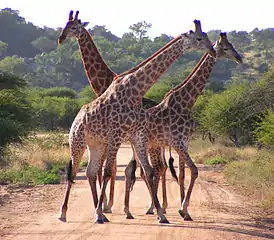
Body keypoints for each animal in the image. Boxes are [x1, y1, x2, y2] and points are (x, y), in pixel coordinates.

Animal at [58, 14, 216, 223]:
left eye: (74, 26)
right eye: (199, 38)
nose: (213, 50)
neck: (134, 89)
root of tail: (76, 119)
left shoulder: (134, 136)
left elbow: (141, 171)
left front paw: (156, 213)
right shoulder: (117, 135)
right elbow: (112, 171)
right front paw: (107, 209)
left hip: (103, 144)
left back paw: (177, 209)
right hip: (78, 143)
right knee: (75, 171)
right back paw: (64, 213)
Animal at [124, 32, 242, 220]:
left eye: (231, 45)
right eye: (225, 48)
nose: (239, 58)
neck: (186, 103)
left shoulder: (184, 142)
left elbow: (183, 173)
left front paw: (185, 211)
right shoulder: (177, 142)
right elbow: (194, 170)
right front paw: (182, 209)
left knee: (141, 170)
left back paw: (137, 210)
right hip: (147, 146)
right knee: (144, 171)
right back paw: (146, 210)